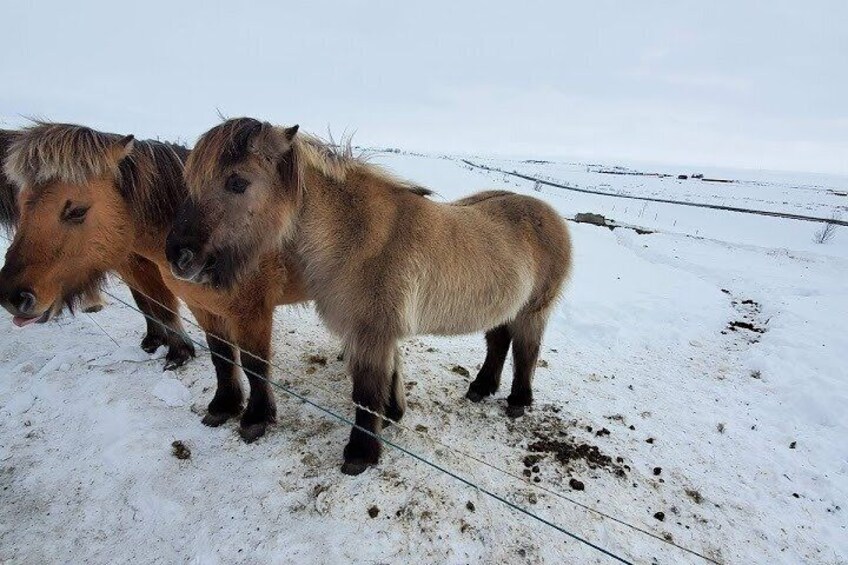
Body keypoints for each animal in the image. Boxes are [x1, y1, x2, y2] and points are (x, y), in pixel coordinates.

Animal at [0, 122, 310, 440]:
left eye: (76, 211)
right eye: (21, 204)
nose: (14, 296)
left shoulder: (251, 313)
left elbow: (253, 365)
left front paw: (255, 418)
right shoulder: (204, 308)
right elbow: (221, 356)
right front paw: (223, 406)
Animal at [171, 117, 568, 474]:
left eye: (237, 182)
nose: (179, 257)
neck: (355, 237)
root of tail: (550, 215)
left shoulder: (371, 333)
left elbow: (365, 392)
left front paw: (360, 454)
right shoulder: (371, 333)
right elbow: (386, 380)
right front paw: (391, 416)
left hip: (533, 311)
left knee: (526, 350)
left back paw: (517, 401)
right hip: (504, 309)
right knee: (499, 342)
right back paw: (481, 388)